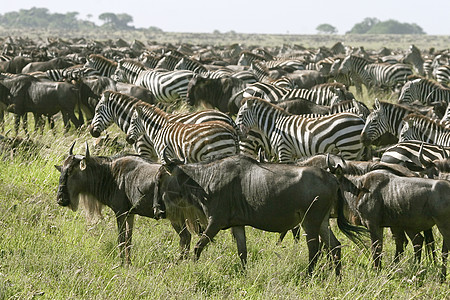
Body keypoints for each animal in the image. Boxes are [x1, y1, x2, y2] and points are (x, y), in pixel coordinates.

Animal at [234, 96, 368, 162]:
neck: (275, 125)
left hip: (348, 148)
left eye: (240, 115)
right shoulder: (290, 153)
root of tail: (359, 120)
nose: (237, 132)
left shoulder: (284, 151)